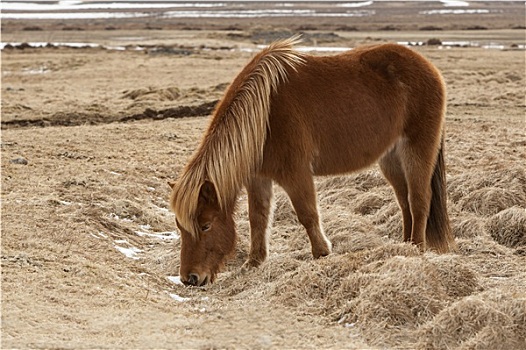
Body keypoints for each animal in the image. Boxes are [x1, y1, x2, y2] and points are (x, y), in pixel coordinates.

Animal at [171, 36, 456, 288]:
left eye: (205, 225)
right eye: (181, 228)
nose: (190, 278)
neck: (264, 115)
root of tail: (429, 67)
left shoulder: (296, 174)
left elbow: (307, 214)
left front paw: (322, 253)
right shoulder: (258, 178)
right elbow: (258, 218)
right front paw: (254, 262)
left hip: (417, 151)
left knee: (419, 201)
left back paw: (417, 248)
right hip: (391, 159)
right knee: (404, 201)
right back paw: (404, 246)